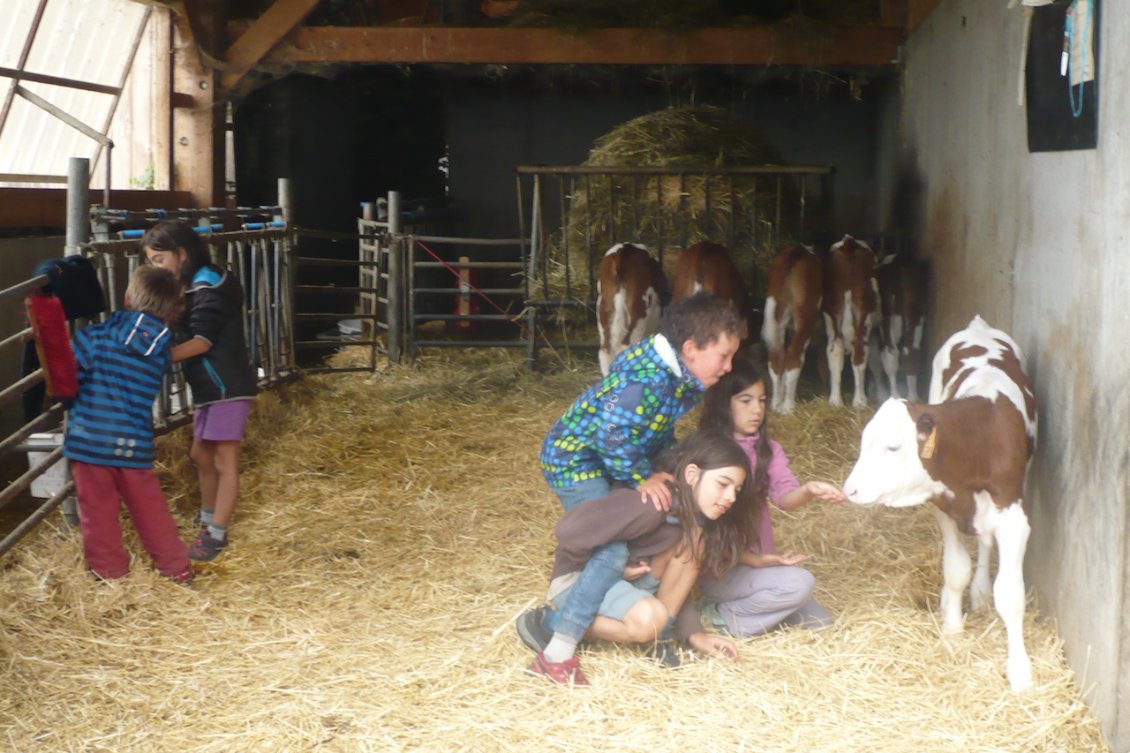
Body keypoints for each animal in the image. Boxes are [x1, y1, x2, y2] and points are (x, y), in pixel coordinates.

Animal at [759, 243, 822, 411]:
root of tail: (797, 250)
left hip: (777, 314)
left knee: (776, 354)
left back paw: (776, 403)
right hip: (805, 317)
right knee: (794, 354)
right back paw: (788, 407)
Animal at [822, 236, 881, 407]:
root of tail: (849, 242)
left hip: (831, 311)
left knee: (835, 349)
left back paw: (835, 401)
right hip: (865, 313)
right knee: (860, 349)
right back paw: (860, 401)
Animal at [845, 314, 1035, 687]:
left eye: (893, 446)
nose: (851, 489)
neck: (978, 441)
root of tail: (978, 326)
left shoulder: (1013, 519)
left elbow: (1010, 593)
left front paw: (1020, 671)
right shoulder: (945, 508)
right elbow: (955, 569)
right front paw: (952, 629)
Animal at [867, 252, 931, 402]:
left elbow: (874, 362)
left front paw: (878, 393)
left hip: (890, 320)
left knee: (890, 355)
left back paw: (894, 396)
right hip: (916, 318)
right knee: (911, 353)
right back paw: (913, 398)